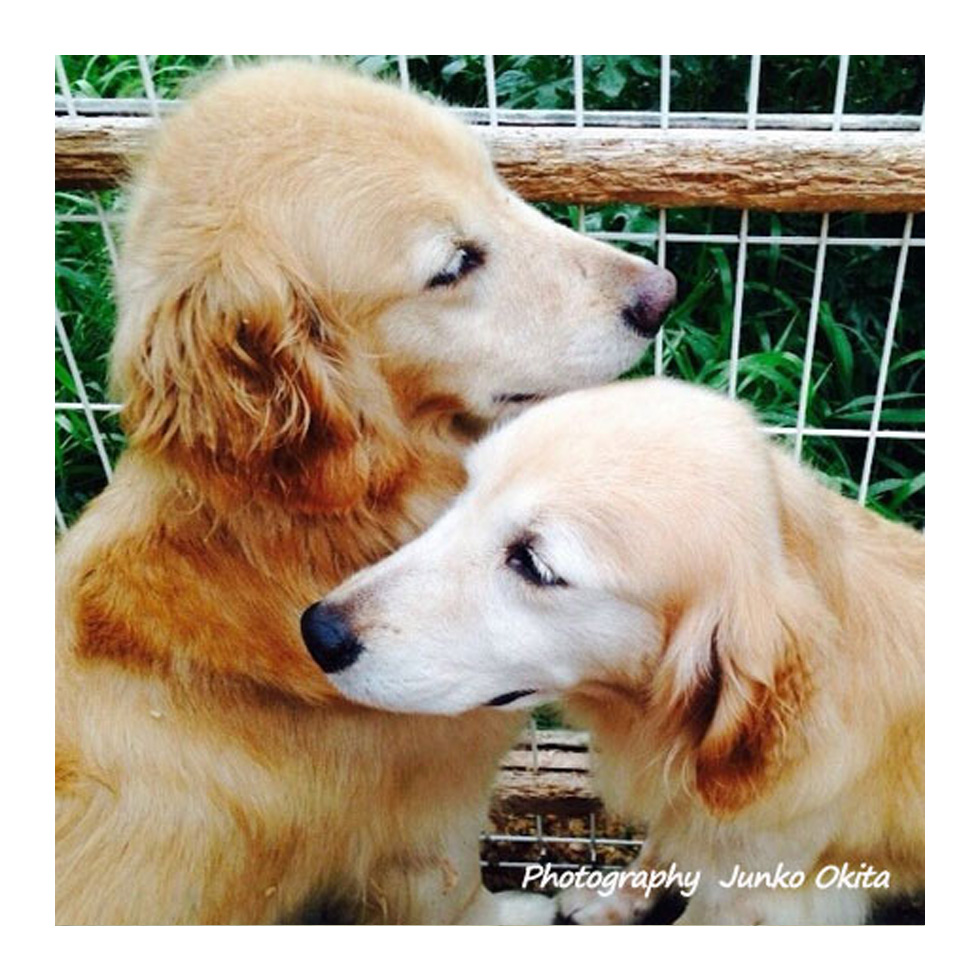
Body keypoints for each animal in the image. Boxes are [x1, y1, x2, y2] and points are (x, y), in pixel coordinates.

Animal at [301, 378, 925, 925]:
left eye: (534, 564)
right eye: (468, 492)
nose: (317, 631)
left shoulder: (760, 895)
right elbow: (657, 845)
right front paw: (613, 900)